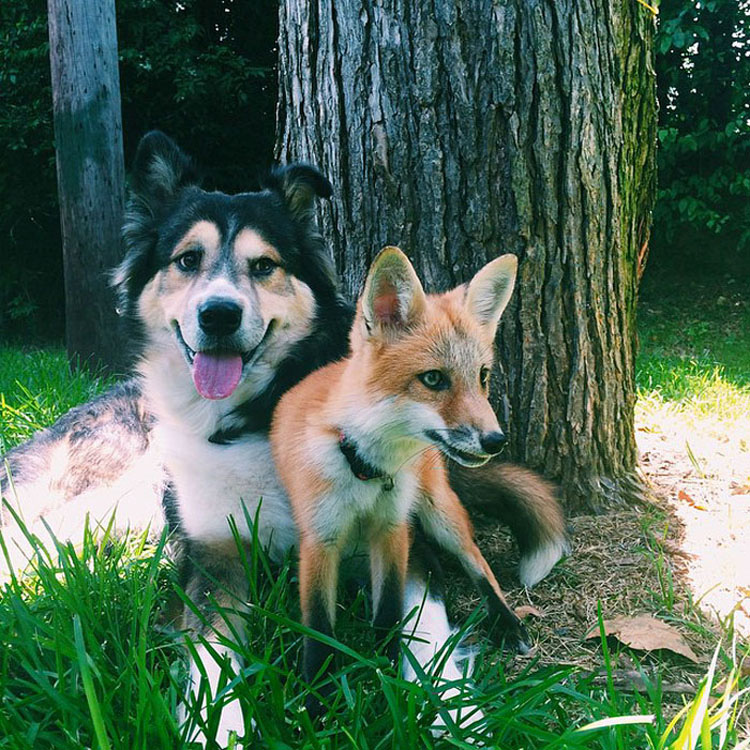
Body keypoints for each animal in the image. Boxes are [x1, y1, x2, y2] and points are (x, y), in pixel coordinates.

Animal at [274, 247, 532, 716]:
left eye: (482, 376)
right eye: (433, 379)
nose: (495, 440)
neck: (366, 469)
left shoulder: (393, 528)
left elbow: (389, 609)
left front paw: (386, 666)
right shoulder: (319, 538)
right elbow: (318, 626)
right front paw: (317, 699)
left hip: (440, 516)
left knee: (479, 564)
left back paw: (507, 622)